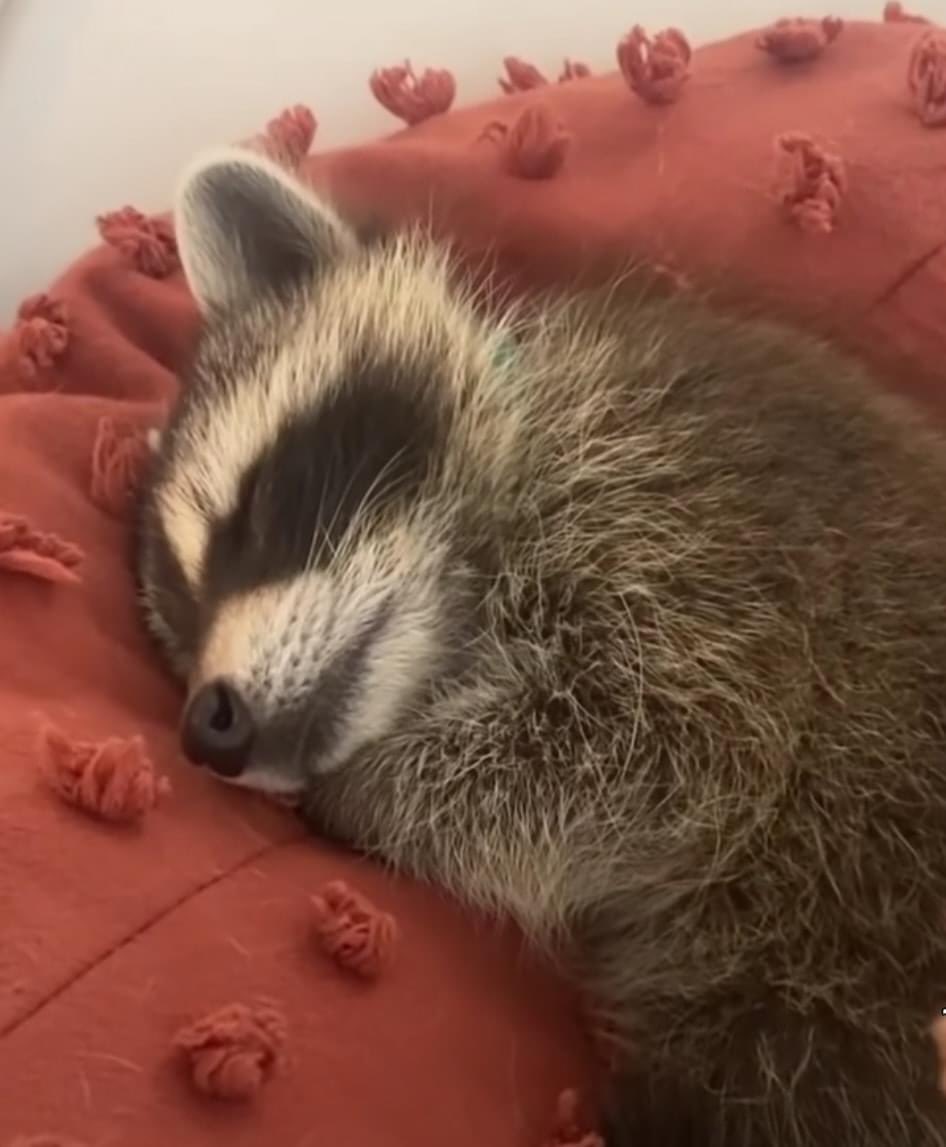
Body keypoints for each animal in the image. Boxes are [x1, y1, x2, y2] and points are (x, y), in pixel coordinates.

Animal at [137, 146, 946, 1146]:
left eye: (252, 514)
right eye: (178, 632)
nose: (206, 727)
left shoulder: (696, 532)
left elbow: (660, 751)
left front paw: (368, 790)